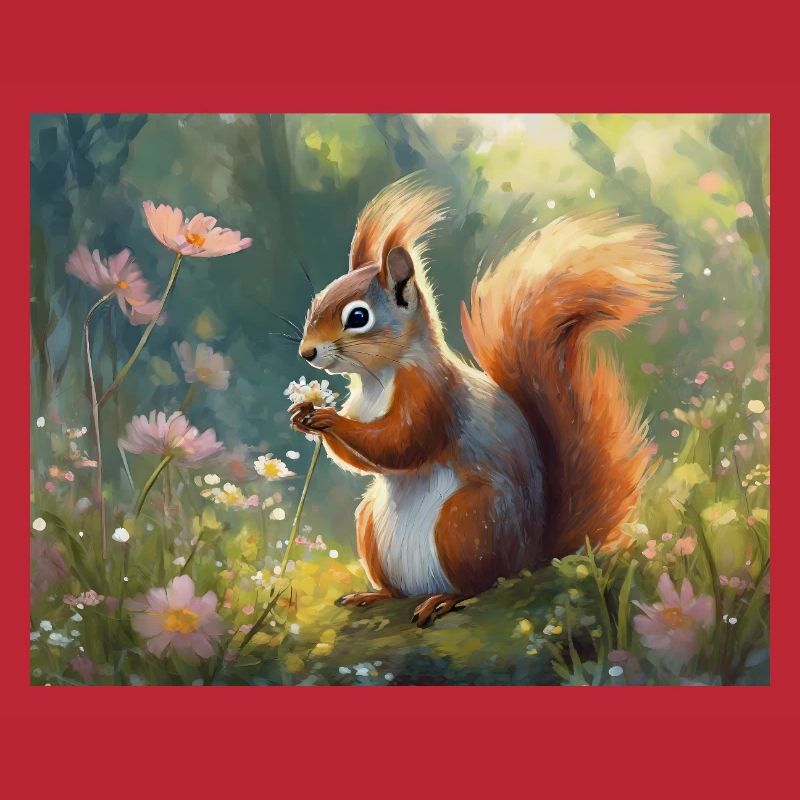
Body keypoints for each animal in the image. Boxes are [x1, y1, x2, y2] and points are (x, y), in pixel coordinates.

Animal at [289, 175, 677, 627]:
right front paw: (302, 414)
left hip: (467, 523)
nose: (306, 353)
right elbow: (363, 461)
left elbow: (402, 443)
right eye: (317, 302)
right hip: (370, 522)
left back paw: (444, 599)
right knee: (397, 586)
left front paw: (329, 419)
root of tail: (529, 558)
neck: (376, 379)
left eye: (357, 317)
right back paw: (375, 594)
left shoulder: (432, 396)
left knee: (480, 583)